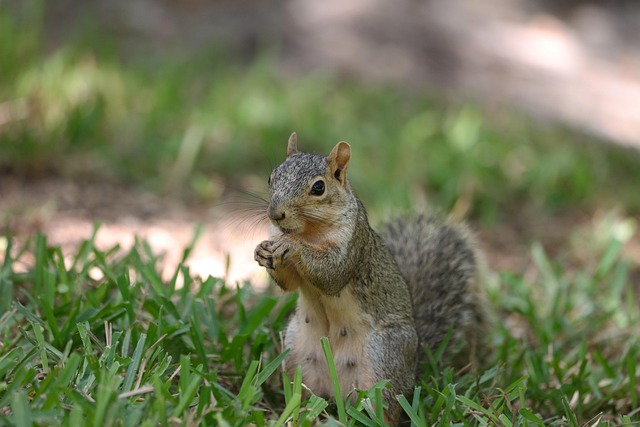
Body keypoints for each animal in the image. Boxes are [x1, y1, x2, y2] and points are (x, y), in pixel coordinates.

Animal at [254, 133, 489, 424]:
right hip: (298, 358)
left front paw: (292, 246)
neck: (308, 232)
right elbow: (290, 283)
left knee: (386, 411)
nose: (275, 214)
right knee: (302, 398)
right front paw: (262, 251)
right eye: (271, 177)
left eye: (318, 188)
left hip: (382, 364)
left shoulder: (354, 246)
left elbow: (331, 274)